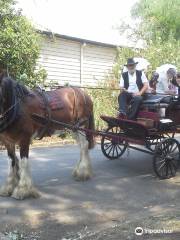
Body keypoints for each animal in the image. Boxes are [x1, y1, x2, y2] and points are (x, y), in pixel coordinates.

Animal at [0, 73, 95, 201]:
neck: (18, 107)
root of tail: (84, 93)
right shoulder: (8, 142)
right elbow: (12, 162)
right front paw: (8, 187)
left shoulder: (24, 139)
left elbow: (23, 162)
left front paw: (23, 190)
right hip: (74, 128)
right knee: (81, 147)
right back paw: (79, 170)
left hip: (81, 126)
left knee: (84, 146)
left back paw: (82, 173)